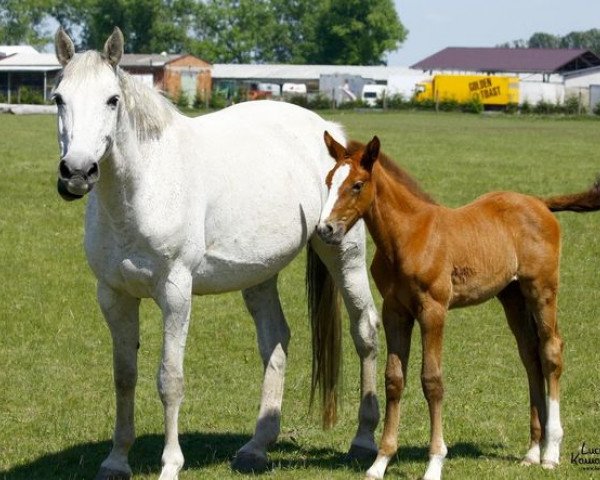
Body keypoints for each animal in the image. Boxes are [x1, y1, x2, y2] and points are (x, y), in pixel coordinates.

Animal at [52, 28, 380, 478]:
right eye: (58, 98)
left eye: (112, 100)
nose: (77, 173)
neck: (147, 184)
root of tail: (330, 132)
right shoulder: (113, 295)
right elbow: (124, 376)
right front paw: (116, 460)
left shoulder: (175, 293)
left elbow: (169, 379)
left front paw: (170, 464)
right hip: (260, 274)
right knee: (276, 341)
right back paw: (257, 447)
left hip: (343, 255)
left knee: (365, 331)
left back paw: (363, 441)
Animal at [316, 132, 600, 480]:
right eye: (329, 180)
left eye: (357, 184)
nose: (326, 229)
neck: (408, 235)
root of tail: (540, 203)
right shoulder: (395, 310)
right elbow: (394, 379)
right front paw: (380, 462)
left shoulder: (433, 310)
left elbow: (432, 381)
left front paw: (435, 462)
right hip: (512, 296)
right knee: (530, 356)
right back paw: (532, 450)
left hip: (542, 290)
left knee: (550, 351)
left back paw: (551, 452)